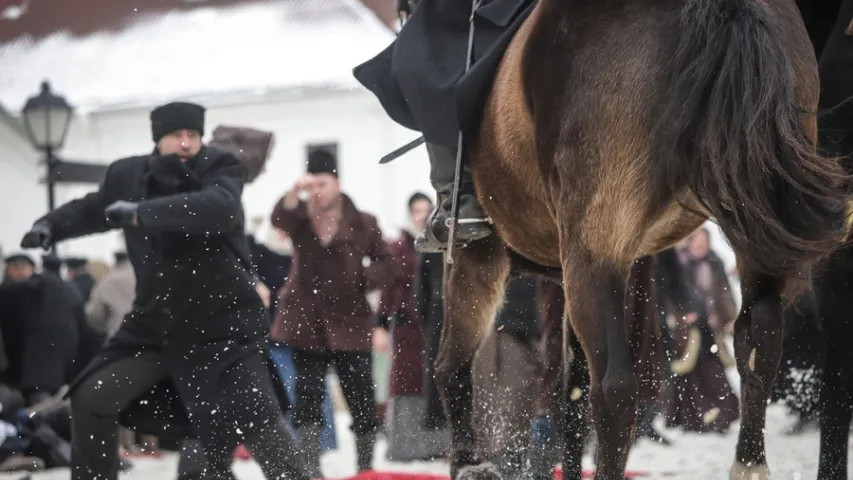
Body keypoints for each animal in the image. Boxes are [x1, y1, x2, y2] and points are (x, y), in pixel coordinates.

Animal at [436, 0, 848, 480]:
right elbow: (570, 392)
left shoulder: (478, 256)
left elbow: (455, 369)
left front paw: (471, 463)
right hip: (749, 227)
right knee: (758, 340)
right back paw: (749, 463)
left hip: (589, 249)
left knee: (612, 389)